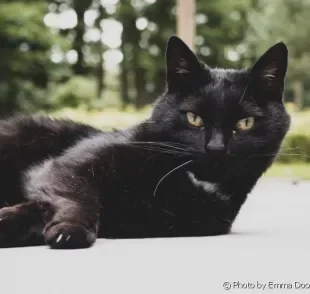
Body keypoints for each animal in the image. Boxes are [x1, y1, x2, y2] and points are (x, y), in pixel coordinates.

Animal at [0, 36, 290, 248]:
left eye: (245, 123)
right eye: (194, 118)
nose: (216, 148)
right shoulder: (65, 168)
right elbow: (77, 194)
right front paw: (71, 229)